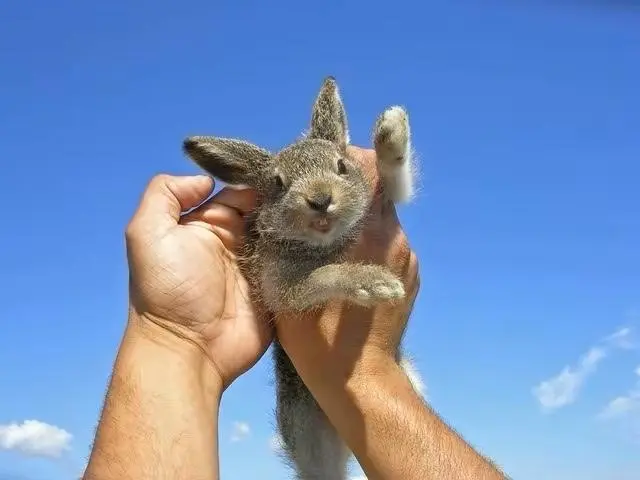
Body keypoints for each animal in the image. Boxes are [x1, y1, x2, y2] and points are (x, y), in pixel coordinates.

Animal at [182, 77, 422, 480]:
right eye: (279, 184)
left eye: (341, 166)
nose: (320, 199)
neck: (326, 242)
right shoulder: (280, 289)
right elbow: (324, 274)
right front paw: (374, 282)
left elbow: (394, 184)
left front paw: (391, 131)